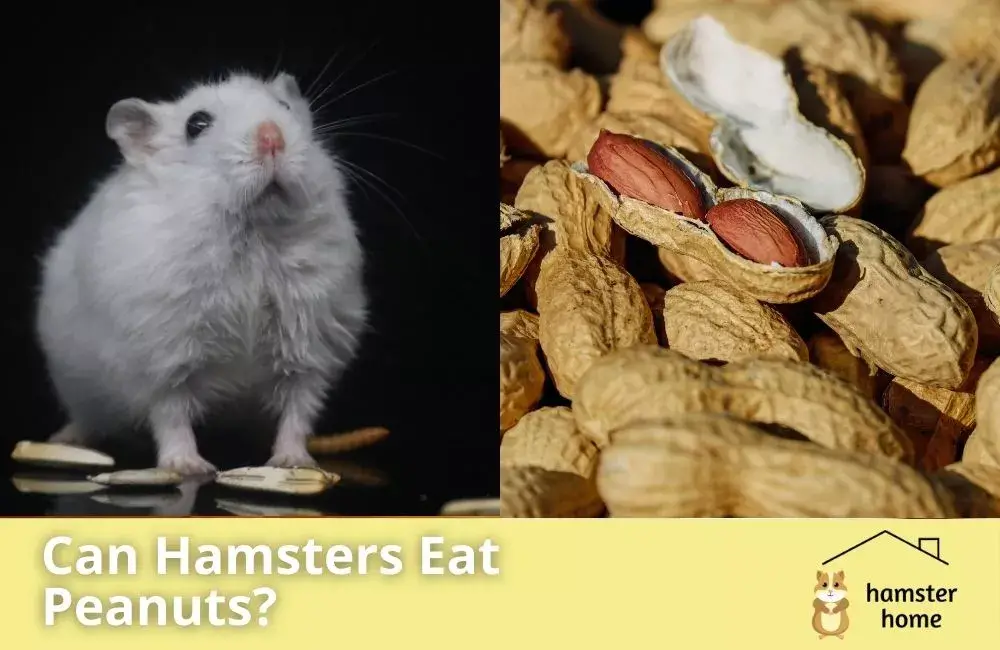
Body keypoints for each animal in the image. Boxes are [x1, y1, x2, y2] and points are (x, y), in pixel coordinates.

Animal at [35, 72, 367, 475]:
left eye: (285, 106)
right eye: (197, 124)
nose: (272, 136)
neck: (254, 233)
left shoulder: (310, 351)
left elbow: (297, 411)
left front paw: (293, 463)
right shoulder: (161, 358)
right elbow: (172, 415)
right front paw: (189, 467)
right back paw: (62, 440)